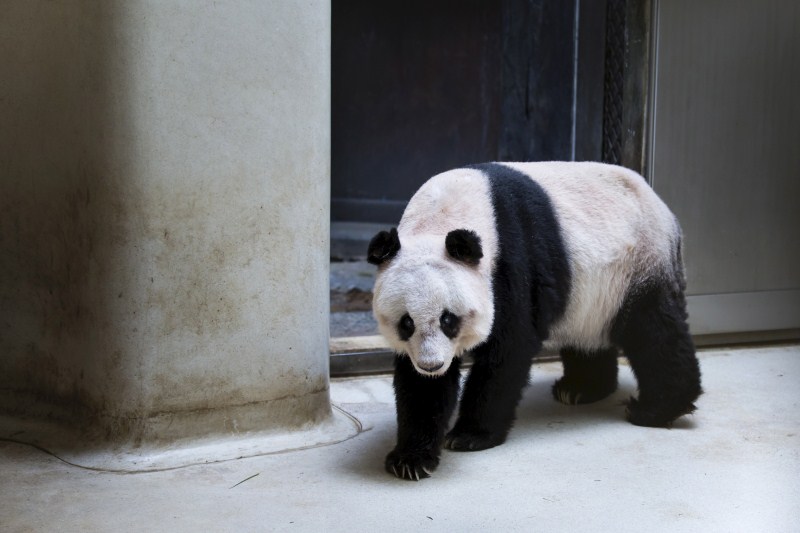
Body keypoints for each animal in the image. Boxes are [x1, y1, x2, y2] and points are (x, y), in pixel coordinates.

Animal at [367, 162, 702, 481]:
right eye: (406, 323)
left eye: (449, 320)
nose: (432, 365)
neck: (441, 217)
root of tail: (665, 211)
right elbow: (420, 388)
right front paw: (410, 459)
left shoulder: (511, 264)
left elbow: (508, 351)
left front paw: (470, 435)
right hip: (592, 294)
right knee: (590, 336)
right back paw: (581, 389)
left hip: (638, 263)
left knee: (654, 331)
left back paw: (655, 409)